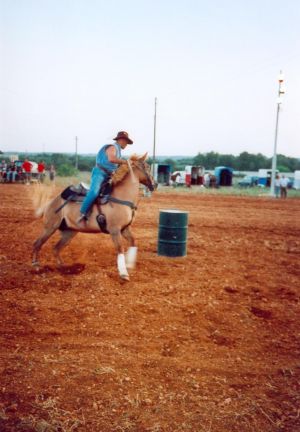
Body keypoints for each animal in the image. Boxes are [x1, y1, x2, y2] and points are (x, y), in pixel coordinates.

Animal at [31, 154, 156, 282]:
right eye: (147, 167)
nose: (155, 184)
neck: (121, 197)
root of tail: (50, 203)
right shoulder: (114, 230)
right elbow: (120, 249)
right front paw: (123, 274)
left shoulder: (125, 229)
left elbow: (133, 242)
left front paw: (129, 265)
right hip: (50, 227)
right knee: (37, 244)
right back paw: (36, 266)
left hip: (69, 232)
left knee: (56, 248)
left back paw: (64, 268)